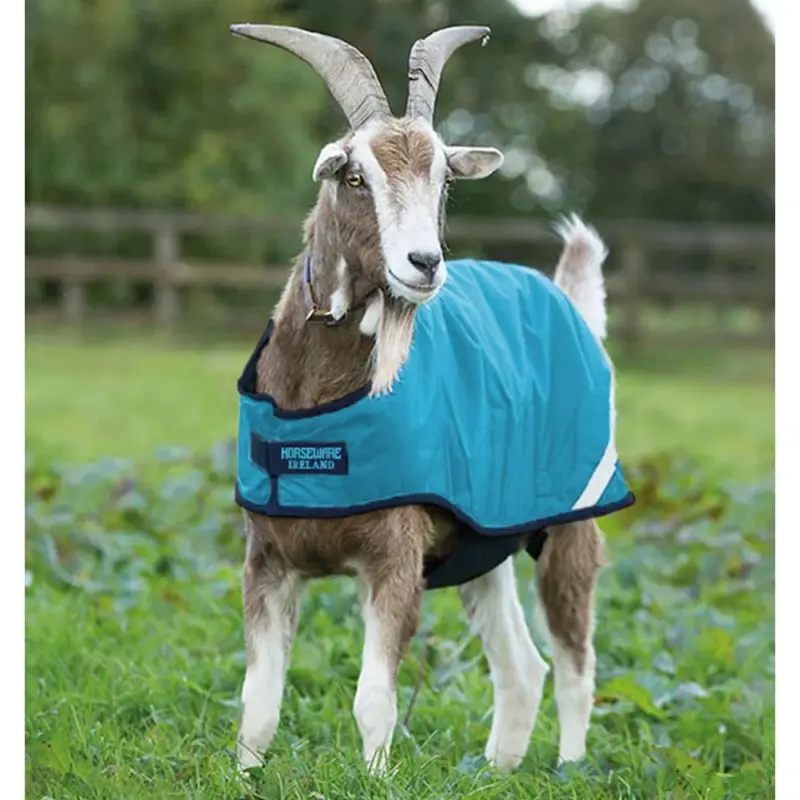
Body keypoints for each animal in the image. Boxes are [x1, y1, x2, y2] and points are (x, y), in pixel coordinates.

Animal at [230, 23, 633, 774]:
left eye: (444, 178)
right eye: (355, 176)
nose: (425, 264)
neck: (319, 407)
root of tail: (570, 305)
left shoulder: (396, 553)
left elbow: (372, 702)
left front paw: (373, 780)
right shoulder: (267, 557)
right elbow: (258, 704)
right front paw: (242, 776)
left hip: (573, 520)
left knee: (574, 662)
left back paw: (568, 769)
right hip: (487, 537)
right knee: (521, 667)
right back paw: (498, 773)